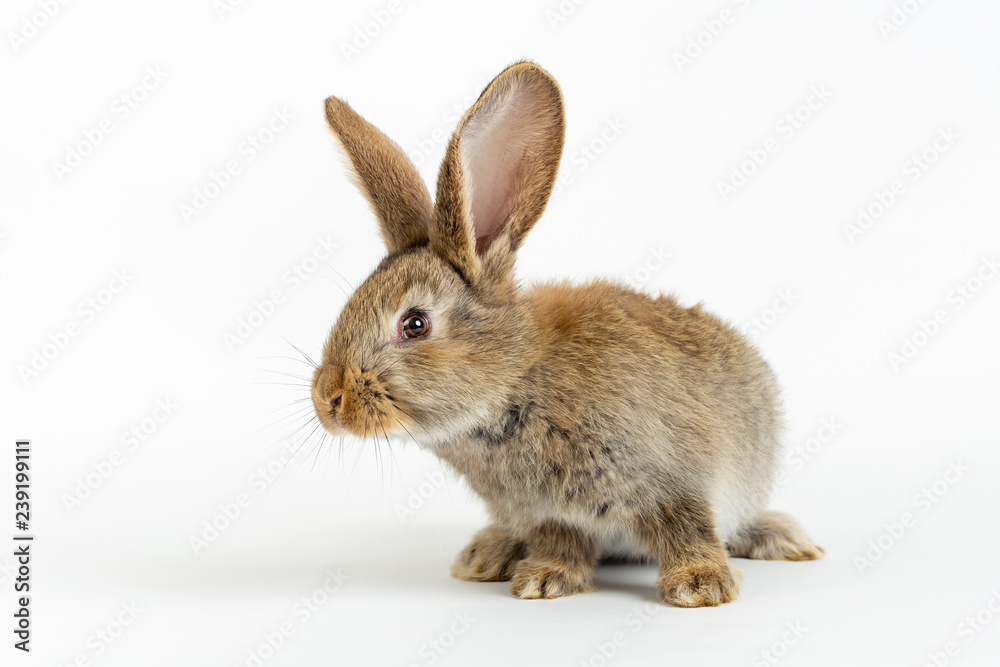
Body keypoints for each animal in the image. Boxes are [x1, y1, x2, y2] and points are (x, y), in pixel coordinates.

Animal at [312, 61, 820, 604]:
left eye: (414, 324)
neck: (514, 383)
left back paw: (784, 539)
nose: (328, 398)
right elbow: (563, 540)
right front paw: (544, 579)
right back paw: (486, 555)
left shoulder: (673, 476)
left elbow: (688, 525)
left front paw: (701, 586)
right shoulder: (548, 513)